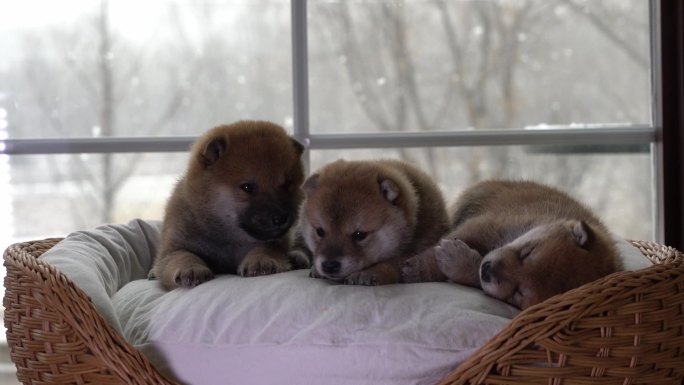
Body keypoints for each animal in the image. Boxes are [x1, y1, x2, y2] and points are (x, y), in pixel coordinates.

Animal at [152, 120, 308, 288]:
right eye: (247, 187)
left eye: (287, 185)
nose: (281, 217)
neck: (228, 238)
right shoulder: (173, 248)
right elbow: (182, 255)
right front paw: (191, 268)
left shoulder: (276, 242)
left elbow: (266, 247)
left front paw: (261, 259)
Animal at [300, 159, 452, 284]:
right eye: (320, 231)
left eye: (359, 235)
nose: (329, 265)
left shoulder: (416, 250)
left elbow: (393, 263)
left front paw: (370, 272)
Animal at [404, 180, 624, 308]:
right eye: (527, 252)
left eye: (518, 293)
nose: (487, 270)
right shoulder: (487, 225)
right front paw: (418, 268)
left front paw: (456, 261)